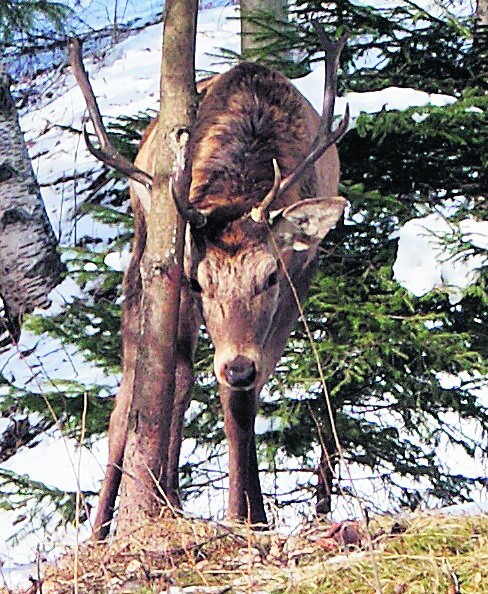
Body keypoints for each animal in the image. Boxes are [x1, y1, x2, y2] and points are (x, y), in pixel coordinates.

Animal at [69, 25, 350, 540]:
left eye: (271, 275)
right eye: (201, 283)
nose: (237, 365)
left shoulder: (299, 281)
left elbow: (243, 401)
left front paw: (250, 516)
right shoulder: (178, 278)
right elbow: (180, 382)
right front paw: (240, 515)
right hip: (143, 246)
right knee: (138, 390)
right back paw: (106, 526)